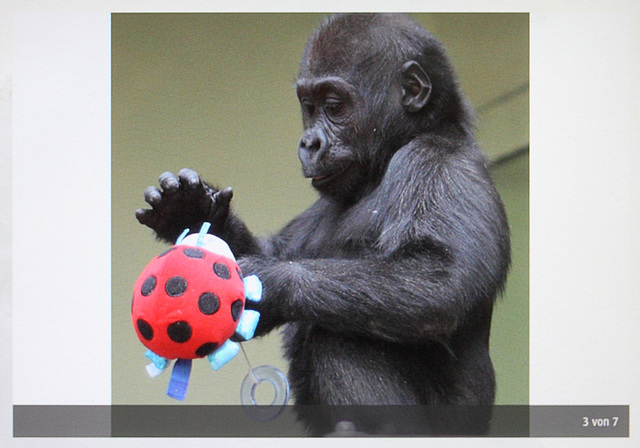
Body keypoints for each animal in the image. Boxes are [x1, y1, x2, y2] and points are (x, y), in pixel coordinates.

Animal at [135, 13, 510, 434]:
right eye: (309, 107)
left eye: (333, 105)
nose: (309, 142)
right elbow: (274, 249)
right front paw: (190, 210)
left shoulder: (440, 165)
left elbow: (440, 279)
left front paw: (269, 282)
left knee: (338, 330)